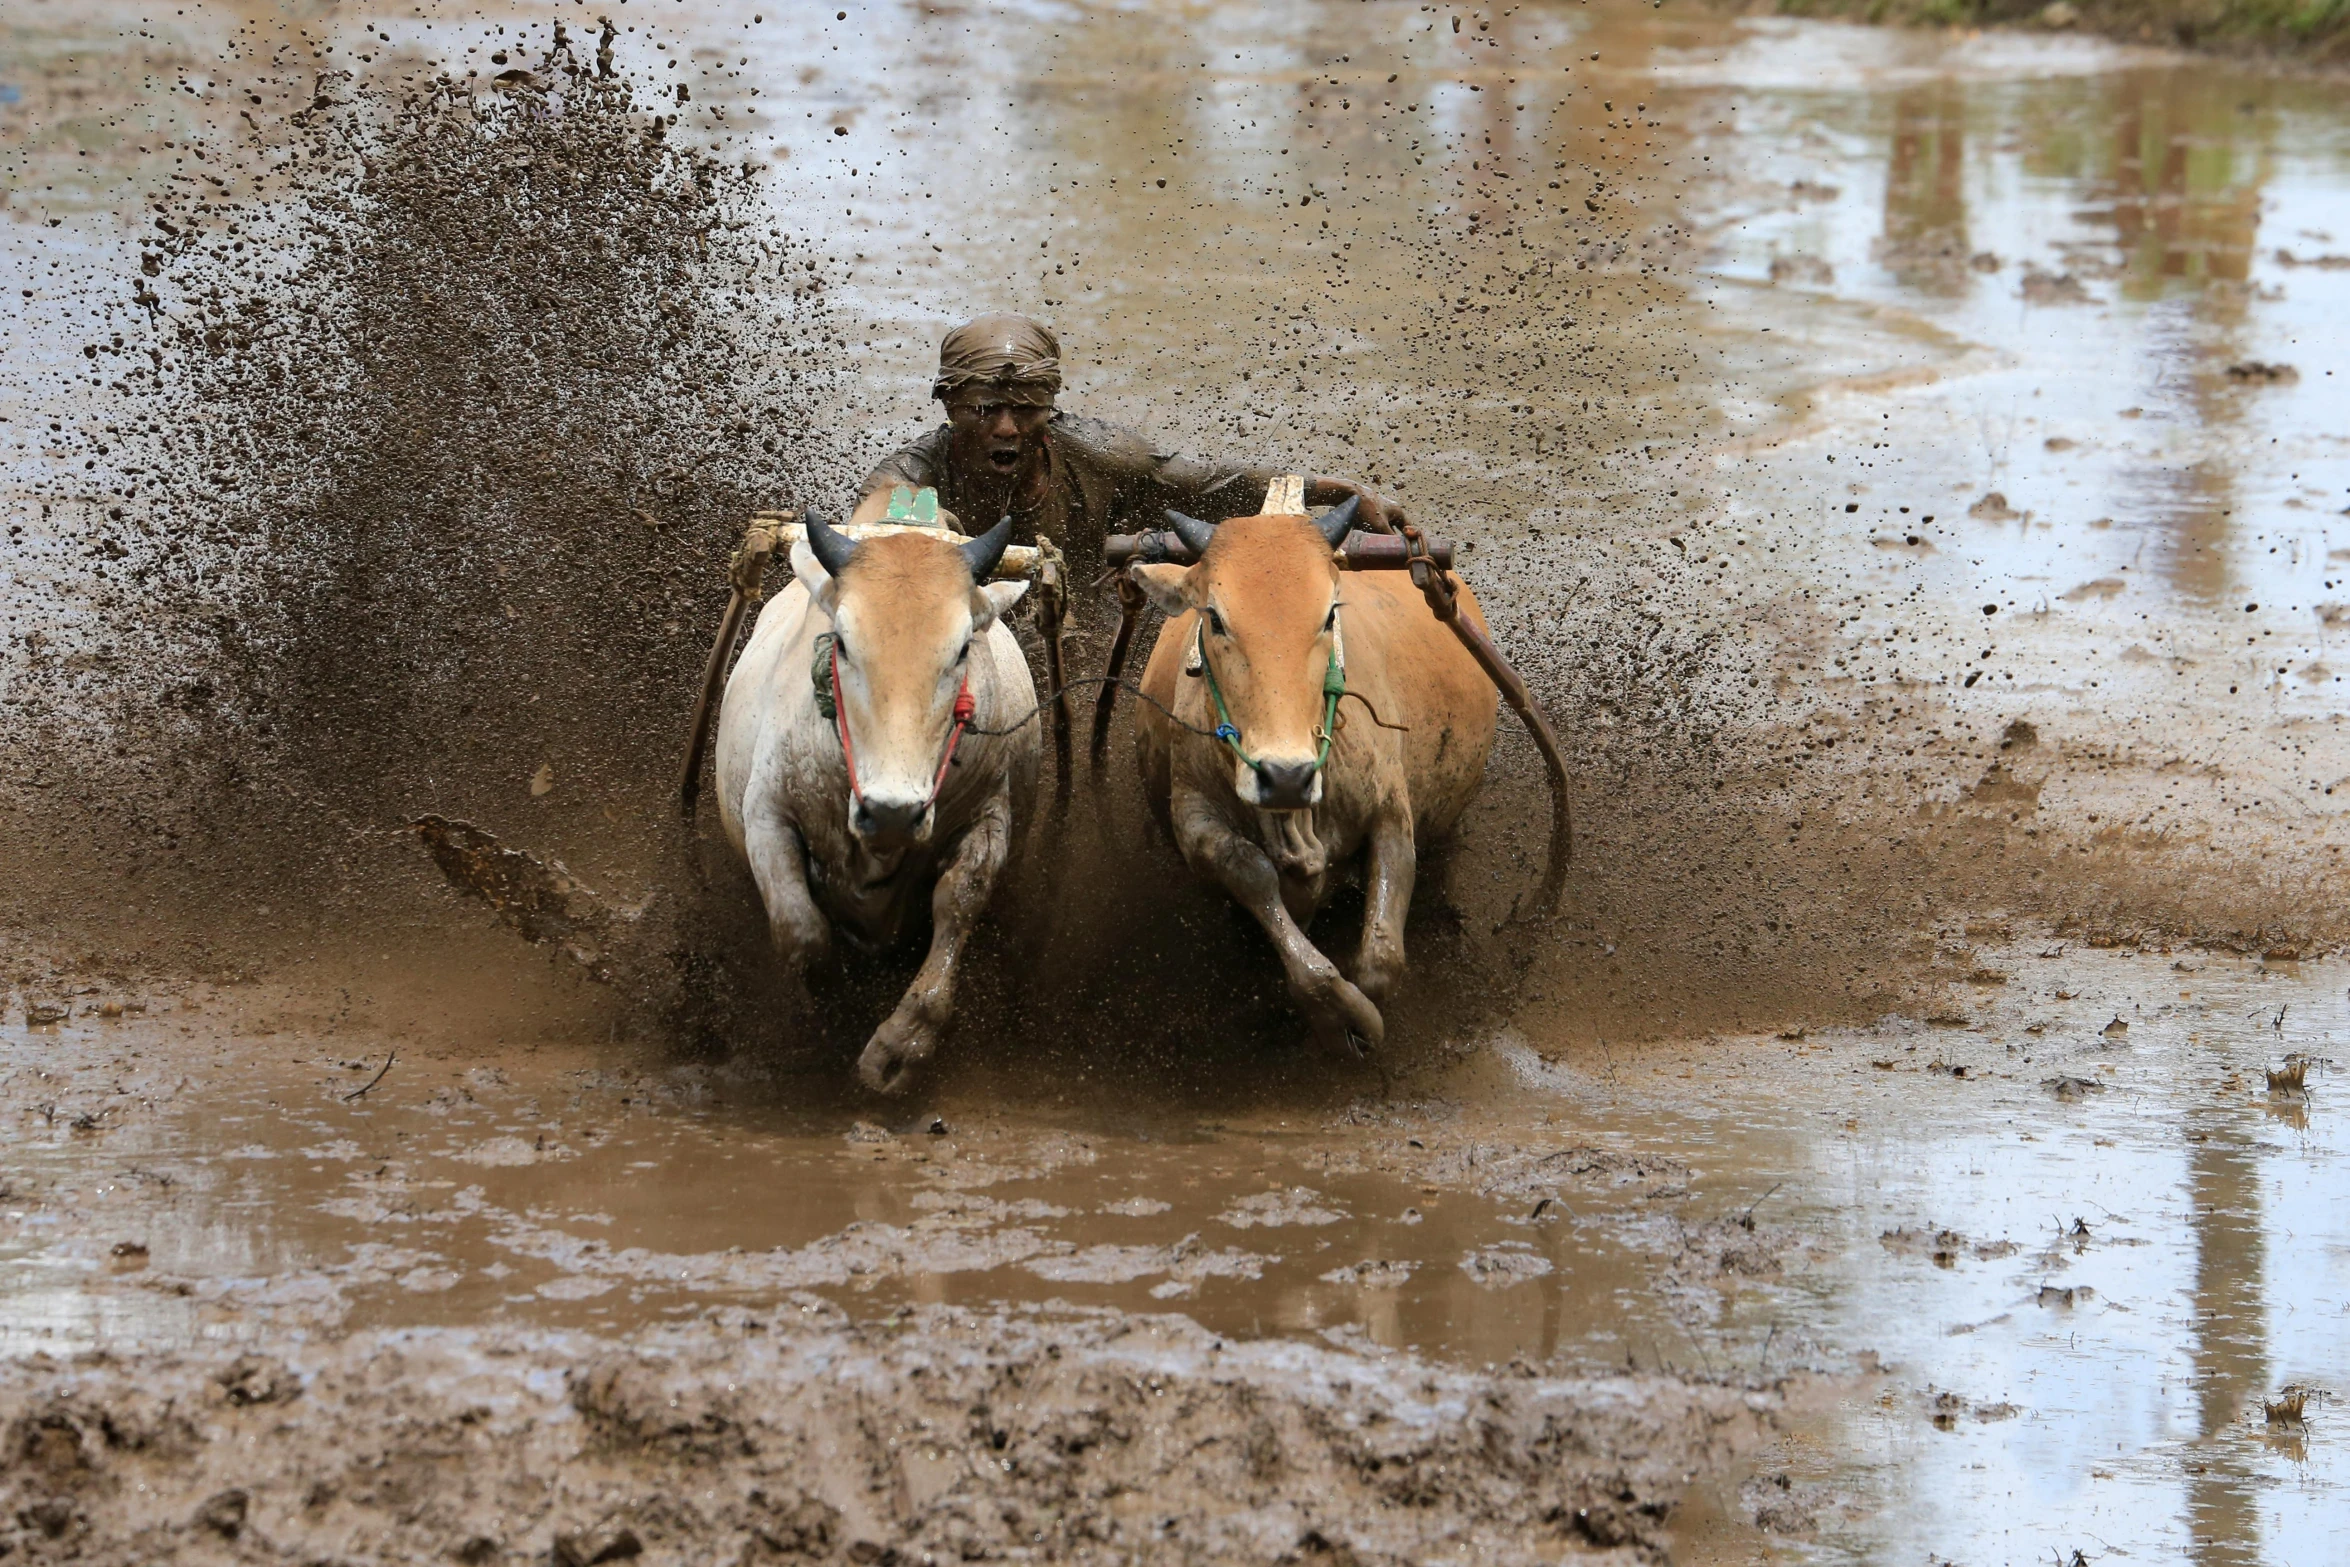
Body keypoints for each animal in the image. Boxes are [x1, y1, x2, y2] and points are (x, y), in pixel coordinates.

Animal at [709, 514, 1034, 1090]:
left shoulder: (989, 815)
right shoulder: (767, 814)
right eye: (841, 642)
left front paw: (901, 1045)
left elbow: (959, 899)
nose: (891, 812)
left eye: (963, 650)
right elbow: (801, 930)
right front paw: (833, 1021)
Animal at [1128, 495, 1494, 1047]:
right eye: (1215, 618)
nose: (1285, 776)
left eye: (1328, 615)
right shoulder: (1192, 814)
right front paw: (1335, 1011)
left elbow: (1381, 959)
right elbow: (1250, 872)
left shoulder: (1390, 811)